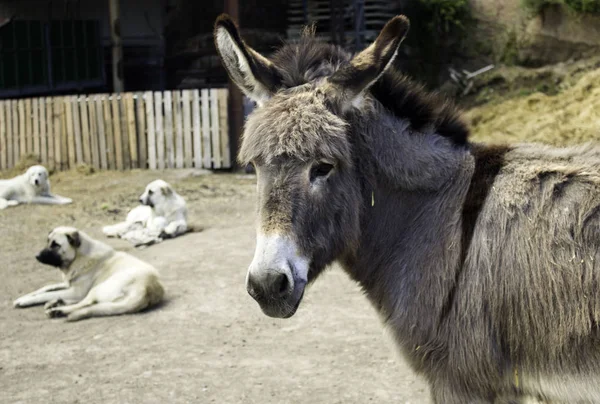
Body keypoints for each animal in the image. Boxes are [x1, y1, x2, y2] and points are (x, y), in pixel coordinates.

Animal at [13, 227, 164, 322]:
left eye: (56, 245)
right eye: (48, 241)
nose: (36, 256)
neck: (78, 257)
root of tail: (146, 289)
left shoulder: (76, 291)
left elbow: (46, 294)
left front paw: (25, 301)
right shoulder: (68, 284)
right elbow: (45, 288)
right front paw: (23, 297)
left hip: (97, 288)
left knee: (86, 303)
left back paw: (58, 309)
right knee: (86, 303)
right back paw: (57, 304)